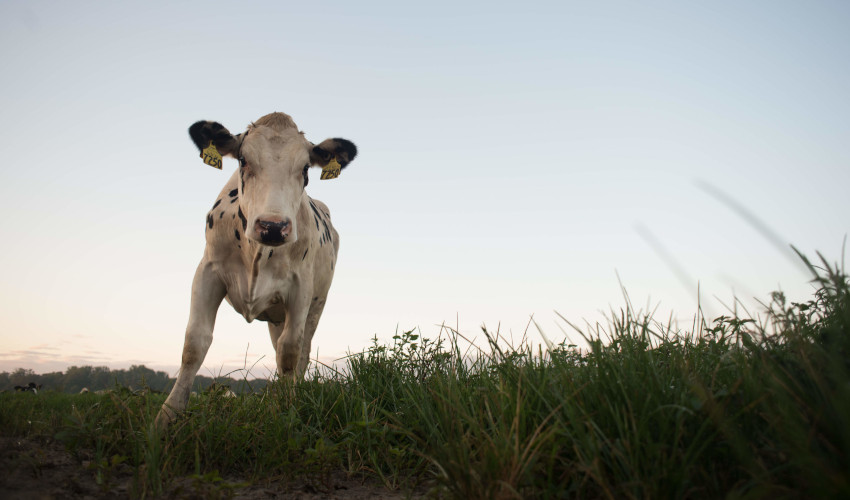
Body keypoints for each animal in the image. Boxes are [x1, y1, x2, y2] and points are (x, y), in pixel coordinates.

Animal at [155, 112, 357, 430]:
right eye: (243, 160)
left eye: (305, 168)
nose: (273, 227)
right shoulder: (207, 272)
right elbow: (194, 343)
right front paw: (166, 417)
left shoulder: (301, 288)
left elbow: (291, 351)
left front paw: (287, 411)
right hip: (277, 317)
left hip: (315, 306)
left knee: (301, 351)